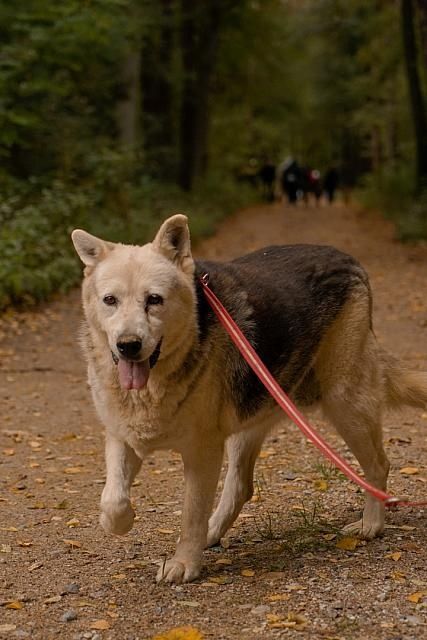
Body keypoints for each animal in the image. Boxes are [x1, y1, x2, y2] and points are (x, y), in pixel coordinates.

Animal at [71, 216, 427, 584]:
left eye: (153, 299)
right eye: (110, 300)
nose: (128, 345)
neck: (152, 386)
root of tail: (346, 258)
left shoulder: (202, 453)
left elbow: (192, 513)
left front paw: (185, 563)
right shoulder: (121, 437)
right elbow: (112, 499)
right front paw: (120, 522)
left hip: (346, 404)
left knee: (378, 465)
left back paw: (372, 523)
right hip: (252, 421)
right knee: (241, 487)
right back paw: (213, 533)